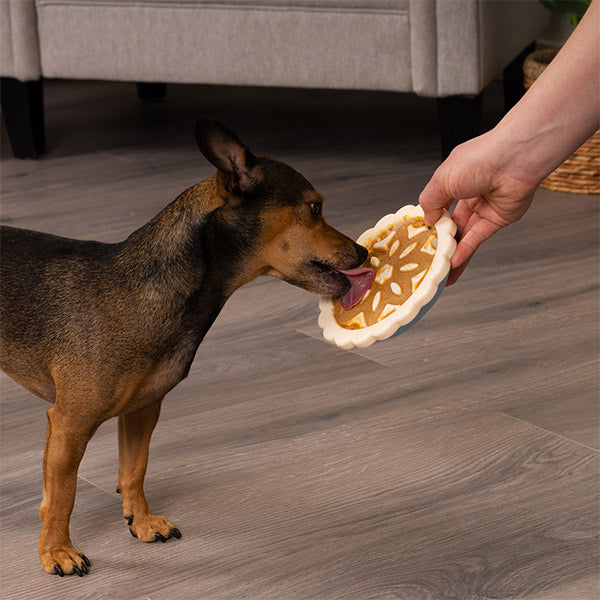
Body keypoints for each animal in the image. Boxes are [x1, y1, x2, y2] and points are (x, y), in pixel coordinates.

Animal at [0, 116, 368, 576]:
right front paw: (57, 551)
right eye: (316, 208)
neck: (142, 290)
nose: (363, 251)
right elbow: (62, 496)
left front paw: (141, 522)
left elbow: (134, 469)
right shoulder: (69, 425)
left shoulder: (143, 411)